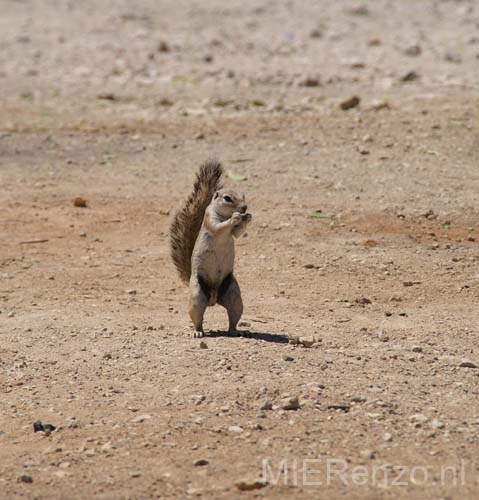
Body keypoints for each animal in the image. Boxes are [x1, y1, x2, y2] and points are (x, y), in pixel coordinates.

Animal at [170, 160, 253, 338]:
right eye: (227, 198)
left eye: (243, 195)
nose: (244, 208)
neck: (224, 215)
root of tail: (213, 299)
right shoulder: (210, 219)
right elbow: (218, 227)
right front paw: (236, 217)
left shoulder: (234, 232)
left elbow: (237, 234)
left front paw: (247, 218)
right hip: (197, 295)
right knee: (198, 318)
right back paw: (198, 332)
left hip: (234, 295)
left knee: (233, 317)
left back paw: (235, 331)